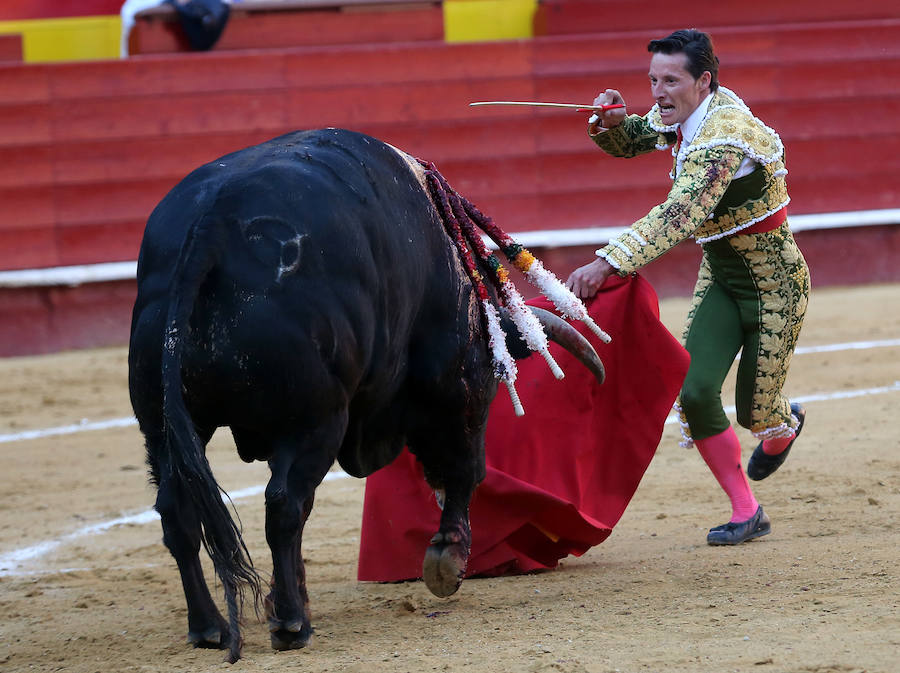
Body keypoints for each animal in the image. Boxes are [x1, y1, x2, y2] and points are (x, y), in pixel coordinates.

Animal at [126, 129, 604, 660]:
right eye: (491, 388)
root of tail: (212, 225)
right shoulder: (450, 384)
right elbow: (458, 467)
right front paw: (448, 557)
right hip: (315, 420)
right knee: (284, 505)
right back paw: (291, 624)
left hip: (162, 427)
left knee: (178, 511)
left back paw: (209, 626)